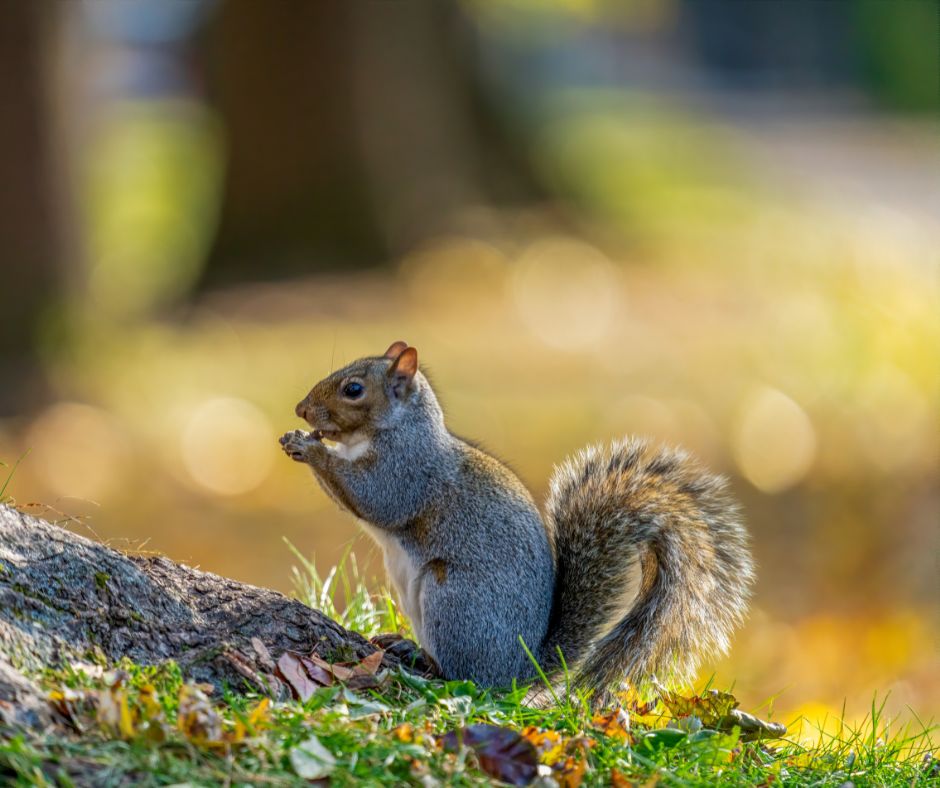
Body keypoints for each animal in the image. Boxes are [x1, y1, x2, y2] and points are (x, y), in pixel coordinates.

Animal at [280, 341, 754, 701]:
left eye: (353, 389)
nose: (301, 409)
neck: (397, 429)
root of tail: (519, 671)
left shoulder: (407, 470)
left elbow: (374, 498)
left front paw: (311, 448)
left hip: (455, 601)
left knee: (468, 678)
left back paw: (423, 661)